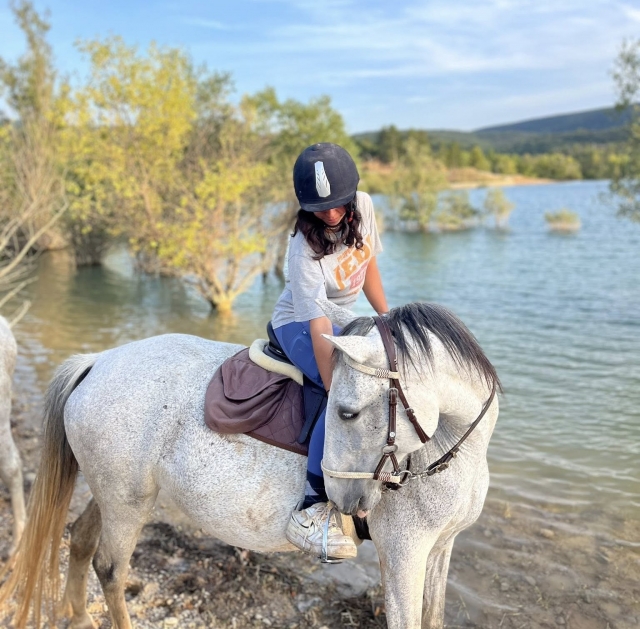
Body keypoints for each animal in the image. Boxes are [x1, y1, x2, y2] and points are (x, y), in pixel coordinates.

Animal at [0, 300, 500, 629]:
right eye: (342, 412)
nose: (345, 501)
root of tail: (97, 361)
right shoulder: (403, 553)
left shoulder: (439, 548)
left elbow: (434, 617)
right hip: (126, 505)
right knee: (110, 568)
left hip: (116, 492)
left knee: (81, 539)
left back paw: (79, 616)